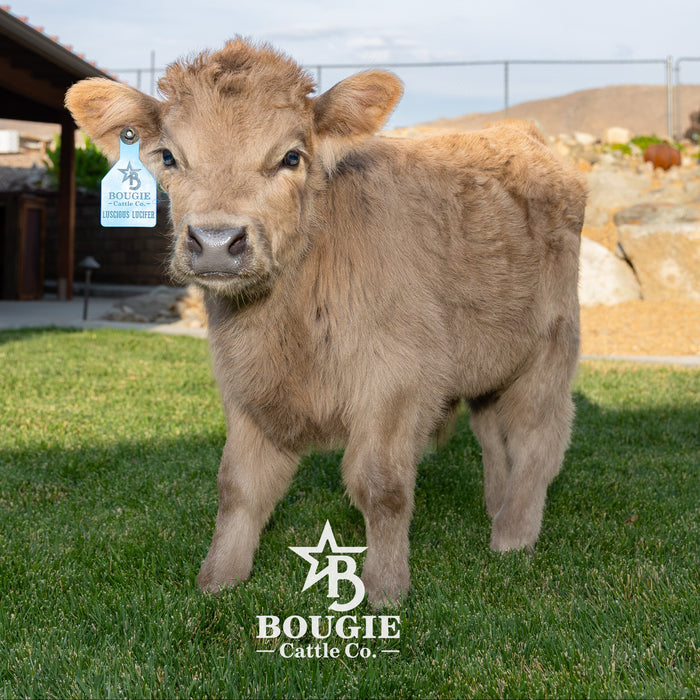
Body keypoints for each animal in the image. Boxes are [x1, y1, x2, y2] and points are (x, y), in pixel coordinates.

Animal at [65, 38, 587, 607]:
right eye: (168, 157)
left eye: (291, 157)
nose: (217, 242)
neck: (286, 326)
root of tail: (520, 134)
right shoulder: (244, 384)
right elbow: (239, 487)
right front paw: (219, 579)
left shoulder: (397, 380)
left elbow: (381, 487)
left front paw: (384, 590)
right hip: (488, 357)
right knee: (494, 434)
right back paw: (496, 508)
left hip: (551, 345)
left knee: (538, 438)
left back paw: (513, 535)